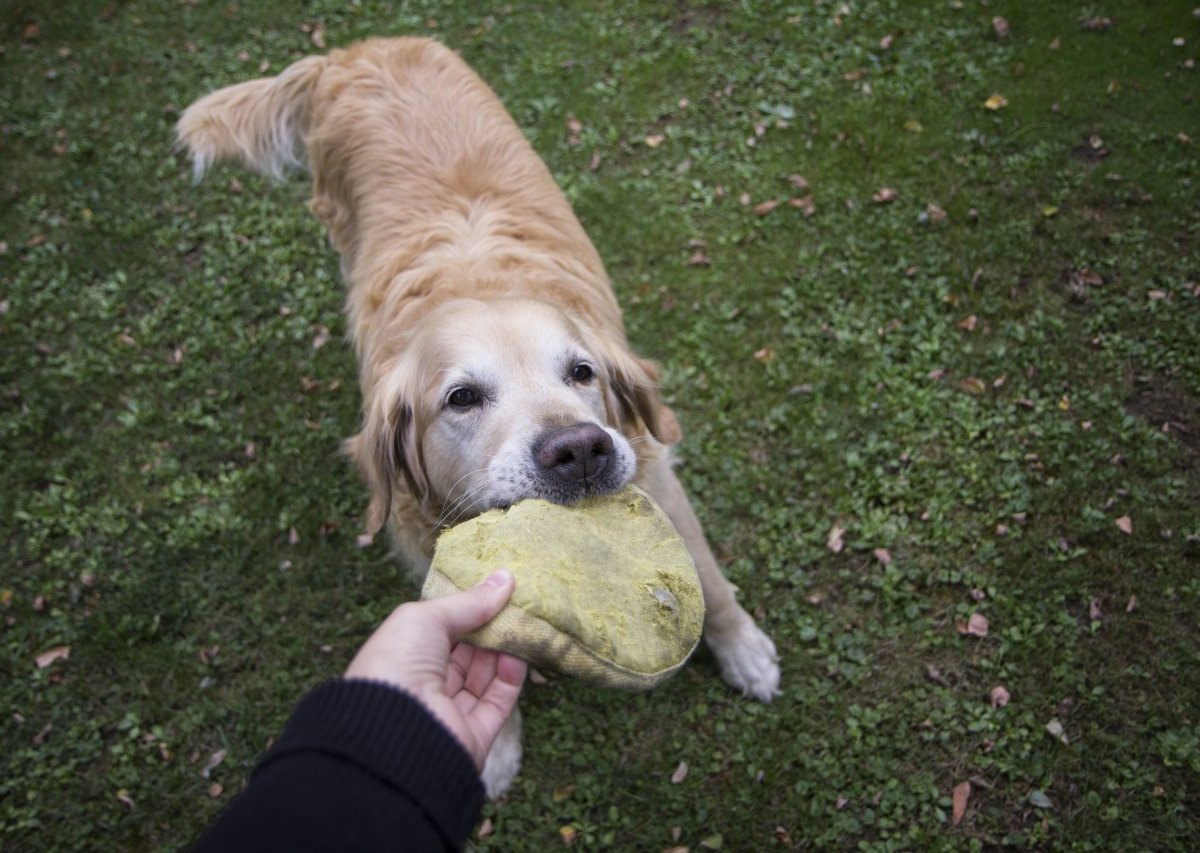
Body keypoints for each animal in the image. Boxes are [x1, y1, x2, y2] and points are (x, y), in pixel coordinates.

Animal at [175, 38, 777, 801]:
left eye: (582, 373)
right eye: (461, 397)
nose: (580, 450)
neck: (477, 282)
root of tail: (356, 49)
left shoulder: (656, 472)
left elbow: (711, 577)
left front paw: (745, 651)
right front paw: (488, 746)